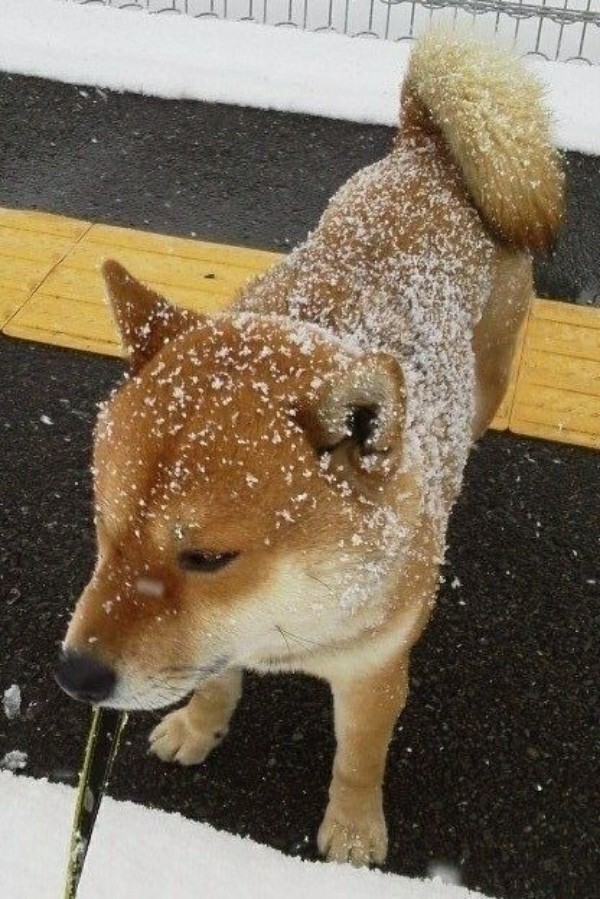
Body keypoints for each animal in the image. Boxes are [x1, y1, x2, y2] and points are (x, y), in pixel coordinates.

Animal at [56, 33, 564, 864]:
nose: (76, 675)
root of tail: (429, 151)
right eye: (106, 527)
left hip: (491, 371)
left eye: (207, 557)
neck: (288, 625)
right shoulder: (222, 642)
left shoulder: (374, 667)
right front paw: (199, 725)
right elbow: (214, 679)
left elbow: (359, 756)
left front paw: (354, 829)